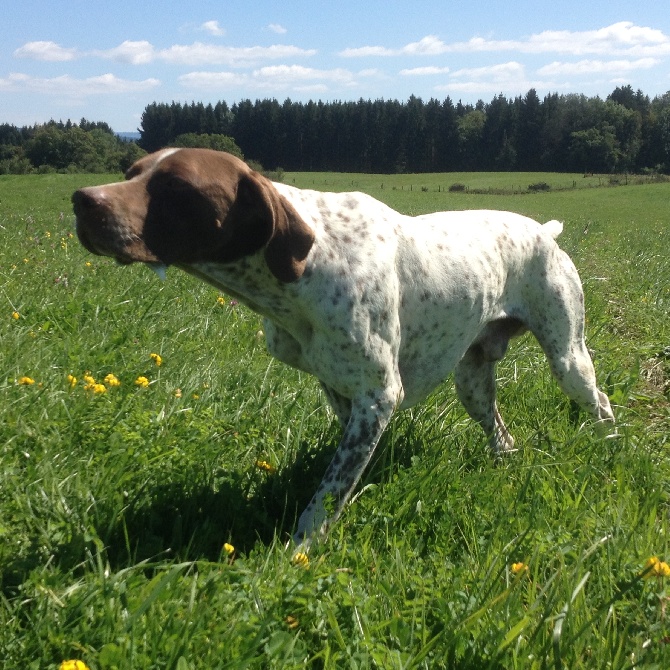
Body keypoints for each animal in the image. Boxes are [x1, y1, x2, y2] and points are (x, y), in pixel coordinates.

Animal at [72, 148, 616, 544]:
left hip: (568, 358)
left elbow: (328, 490)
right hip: (472, 379)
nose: (81, 200)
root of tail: (544, 230)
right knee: (501, 433)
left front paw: (301, 546)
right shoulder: (341, 391)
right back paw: (505, 461)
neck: (309, 261)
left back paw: (610, 446)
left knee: (601, 400)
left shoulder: (376, 396)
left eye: (176, 186)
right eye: (131, 172)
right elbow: (343, 471)